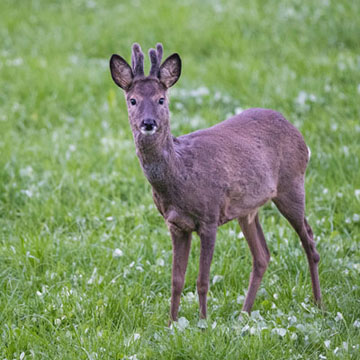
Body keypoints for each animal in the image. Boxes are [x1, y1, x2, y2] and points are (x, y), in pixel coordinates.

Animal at [109, 43, 320, 322]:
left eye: (161, 99)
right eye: (132, 100)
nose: (148, 123)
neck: (181, 176)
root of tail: (299, 135)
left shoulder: (209, 217)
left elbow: (202, 280)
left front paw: (203, 322)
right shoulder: (175, 224)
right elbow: (176, 280)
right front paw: (172, 323)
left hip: (292, 184)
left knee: (309, 241)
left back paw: (319, 304)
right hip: (248, 209)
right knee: (262, 255)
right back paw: (244, 314)